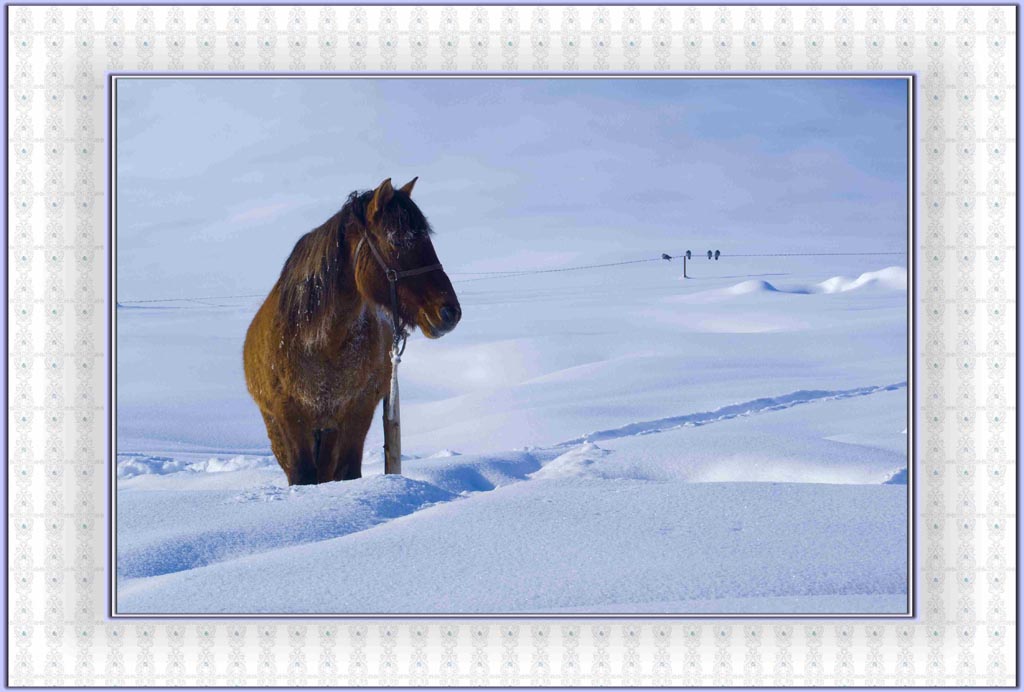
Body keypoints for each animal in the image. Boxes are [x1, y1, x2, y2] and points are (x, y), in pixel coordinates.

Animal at [243, 176, 460, 483]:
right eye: (398, 241)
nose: (450, 312)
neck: (322, 345)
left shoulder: (357, 413)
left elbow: (347, 472)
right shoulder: (289, 419)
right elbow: (302, 476)